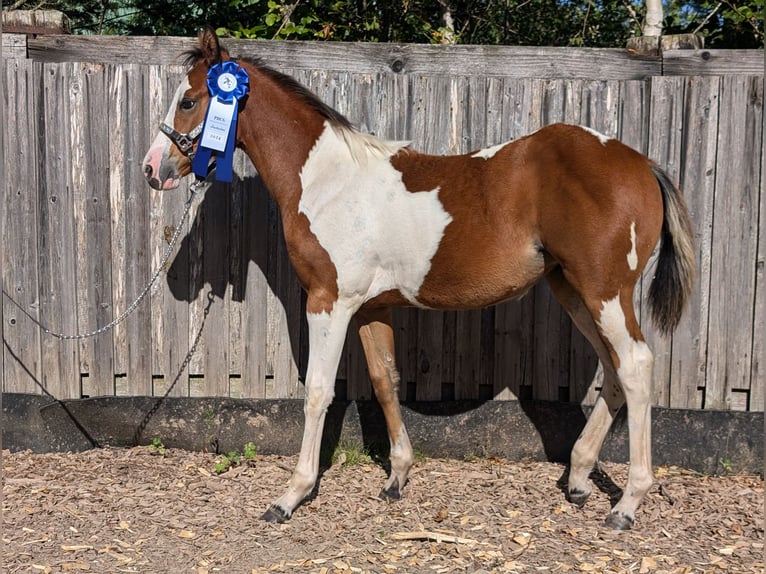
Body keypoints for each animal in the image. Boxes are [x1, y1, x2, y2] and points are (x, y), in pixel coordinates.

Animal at [141, 27, 700, 532]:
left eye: (189, 100)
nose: (152, 168)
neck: (326, 180)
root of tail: (641, 162)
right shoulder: (372, 307)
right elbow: (385, 381)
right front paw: (396, 478)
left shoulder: (329, 301)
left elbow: (318, 391)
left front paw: (290, 496)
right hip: (574, 292)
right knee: (615, 369)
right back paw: (580, 477)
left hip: (605, 292)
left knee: (636, 366)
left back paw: (626, 505)